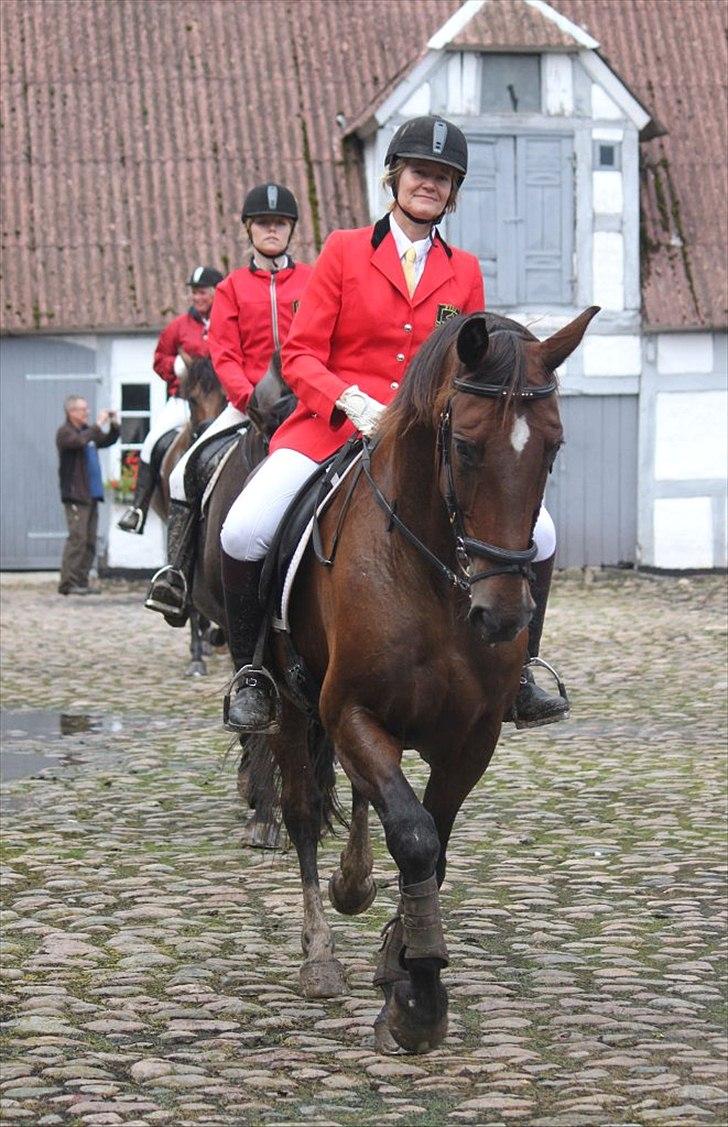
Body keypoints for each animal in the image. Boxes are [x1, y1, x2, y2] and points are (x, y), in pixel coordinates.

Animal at [253, 304, 604, 1050]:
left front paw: (402, 957)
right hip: (293, 707)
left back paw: (355, 884)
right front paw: (418, 1000)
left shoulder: (473, 737)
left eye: (552, 448)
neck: (435, 577)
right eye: (465, 447)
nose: (502, 616)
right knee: (302, 811)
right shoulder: (351, 711)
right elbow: (412, 834)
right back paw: (320, 954)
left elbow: (433, 841)